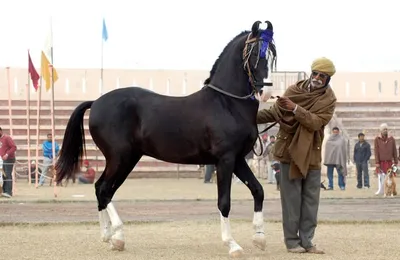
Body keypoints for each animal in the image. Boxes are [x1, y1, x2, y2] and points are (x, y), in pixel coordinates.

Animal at [55, 20, 276, 258]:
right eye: (254, 53)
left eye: (272, 54)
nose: (265, 92)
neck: (227, 103)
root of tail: (95, 102)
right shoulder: (225, 160)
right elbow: (224, 202)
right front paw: (232, 245)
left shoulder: (238, 159)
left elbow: (258, 190)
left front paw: (259, 238)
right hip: (119, 158)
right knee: (104, 189)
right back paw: (118, 237)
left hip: (126, 160)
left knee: (101, 189)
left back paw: (108, 237)